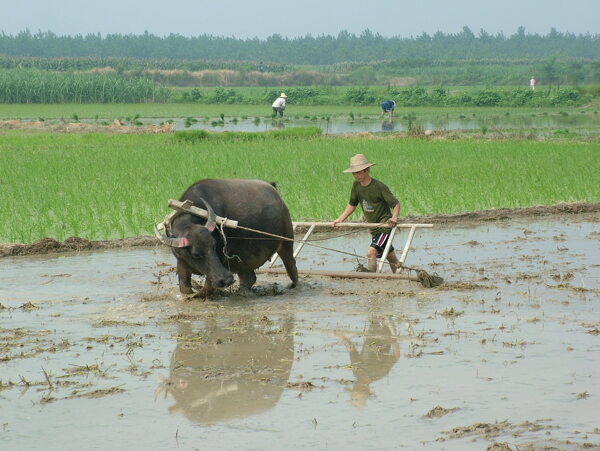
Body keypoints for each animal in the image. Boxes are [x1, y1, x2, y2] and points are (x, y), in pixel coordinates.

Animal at [154, 180, 296, 296]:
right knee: (249, 278)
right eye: (196, 254)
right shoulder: (182, 262)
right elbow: (184, 288)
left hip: (286, 243)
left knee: (292, 267)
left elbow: (207, 288)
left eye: (214, 246)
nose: (227, 279)